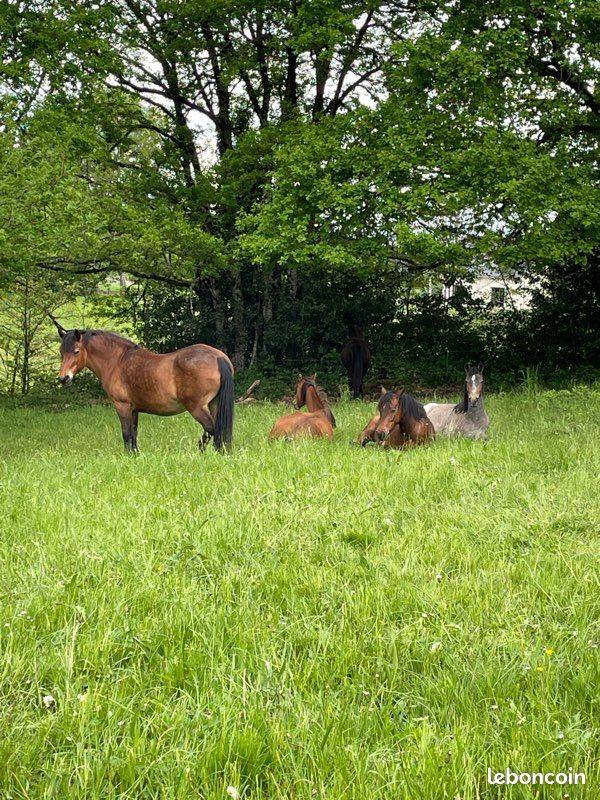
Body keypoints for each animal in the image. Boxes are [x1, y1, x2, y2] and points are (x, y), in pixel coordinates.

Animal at [50, 317, 234, 452]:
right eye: (61, 352)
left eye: (76, 351)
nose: (64, 378)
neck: (118, 361)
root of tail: (218, 357)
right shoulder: (134, 409)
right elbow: (134, 434)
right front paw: (135, 455)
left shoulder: (122, 405)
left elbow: (126, 433)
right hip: (214, 403)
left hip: (197, 407)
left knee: (212, 429)